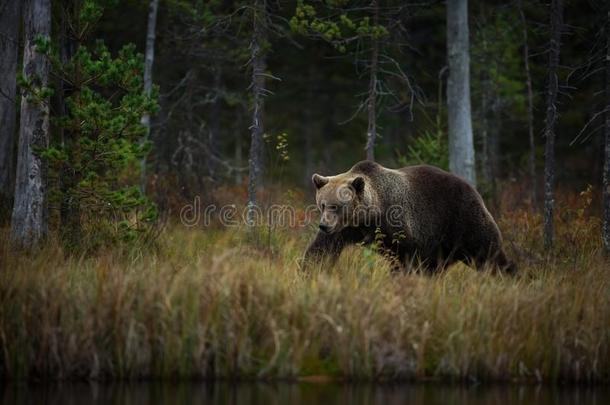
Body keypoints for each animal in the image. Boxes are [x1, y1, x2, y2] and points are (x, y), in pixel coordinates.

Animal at [302, 159, 512, 274]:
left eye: (336, 206)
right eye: (322, 204)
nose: (323, 226)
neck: (368, 218)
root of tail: (473, 189)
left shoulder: (398, 224)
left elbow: (404, 256)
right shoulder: (346, 230)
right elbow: (321, 250)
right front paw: (308, 270)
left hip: (462, 219)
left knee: (488, 252)